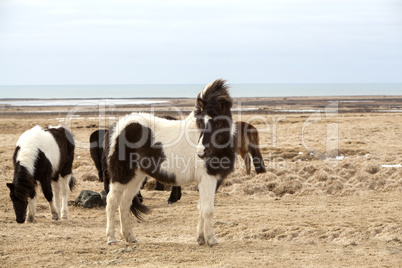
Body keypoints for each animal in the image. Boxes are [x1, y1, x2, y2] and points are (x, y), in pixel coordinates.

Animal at [104, 78, 236, 246]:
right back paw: (111, 239)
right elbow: (208, 210)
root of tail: (117, 127)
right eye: (200, 122)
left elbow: (202, 208)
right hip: (121, 175)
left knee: (125, 203)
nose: (200, 153)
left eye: (218, 124)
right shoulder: (208, 179)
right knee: (112, 201)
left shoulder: (211, 180)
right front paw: (211, 240)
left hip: (136, 176)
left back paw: (130, 237)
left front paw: (201, 238)